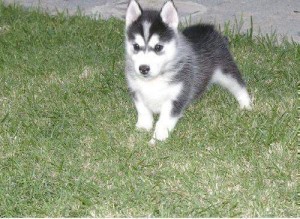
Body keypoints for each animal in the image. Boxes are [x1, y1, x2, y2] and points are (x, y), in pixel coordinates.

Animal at [123, 0, 251, 144]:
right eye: (136, 46)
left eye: (158, 47)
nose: (143, 68)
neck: (154, 80)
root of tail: (209, 28)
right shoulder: (136, 91)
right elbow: (143, 110)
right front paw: (143, 127)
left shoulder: (176, 96)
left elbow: (164, 121)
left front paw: (158, 138)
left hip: (226, 70)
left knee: (239, 86)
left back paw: (246, 105)